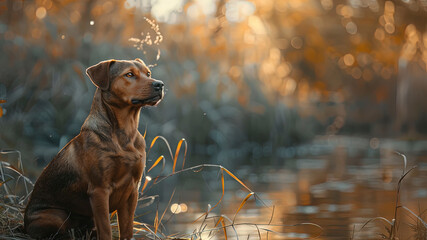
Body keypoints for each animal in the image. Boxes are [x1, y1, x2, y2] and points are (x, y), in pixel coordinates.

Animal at [23, 58, 164, 240]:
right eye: (129, 74)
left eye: (148, 73)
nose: (160, 84)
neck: (125, 132)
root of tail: (24, 224)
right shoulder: (99, 190)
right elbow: (106, 229)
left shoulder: (132, 190)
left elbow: (127, 229)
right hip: (55, 215)